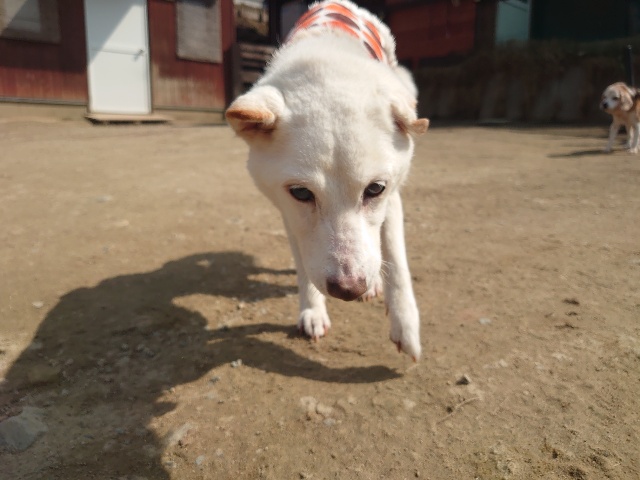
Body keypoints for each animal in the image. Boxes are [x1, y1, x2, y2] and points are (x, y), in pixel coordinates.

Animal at [225, 0, 429, 360]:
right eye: (301, 193)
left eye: (375, 189)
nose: (349, 289)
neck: (327, 66)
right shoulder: (290, 214)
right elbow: (304, 266)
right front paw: (313, 310)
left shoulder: (392, 199)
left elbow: (395, 259)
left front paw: (405, 326)